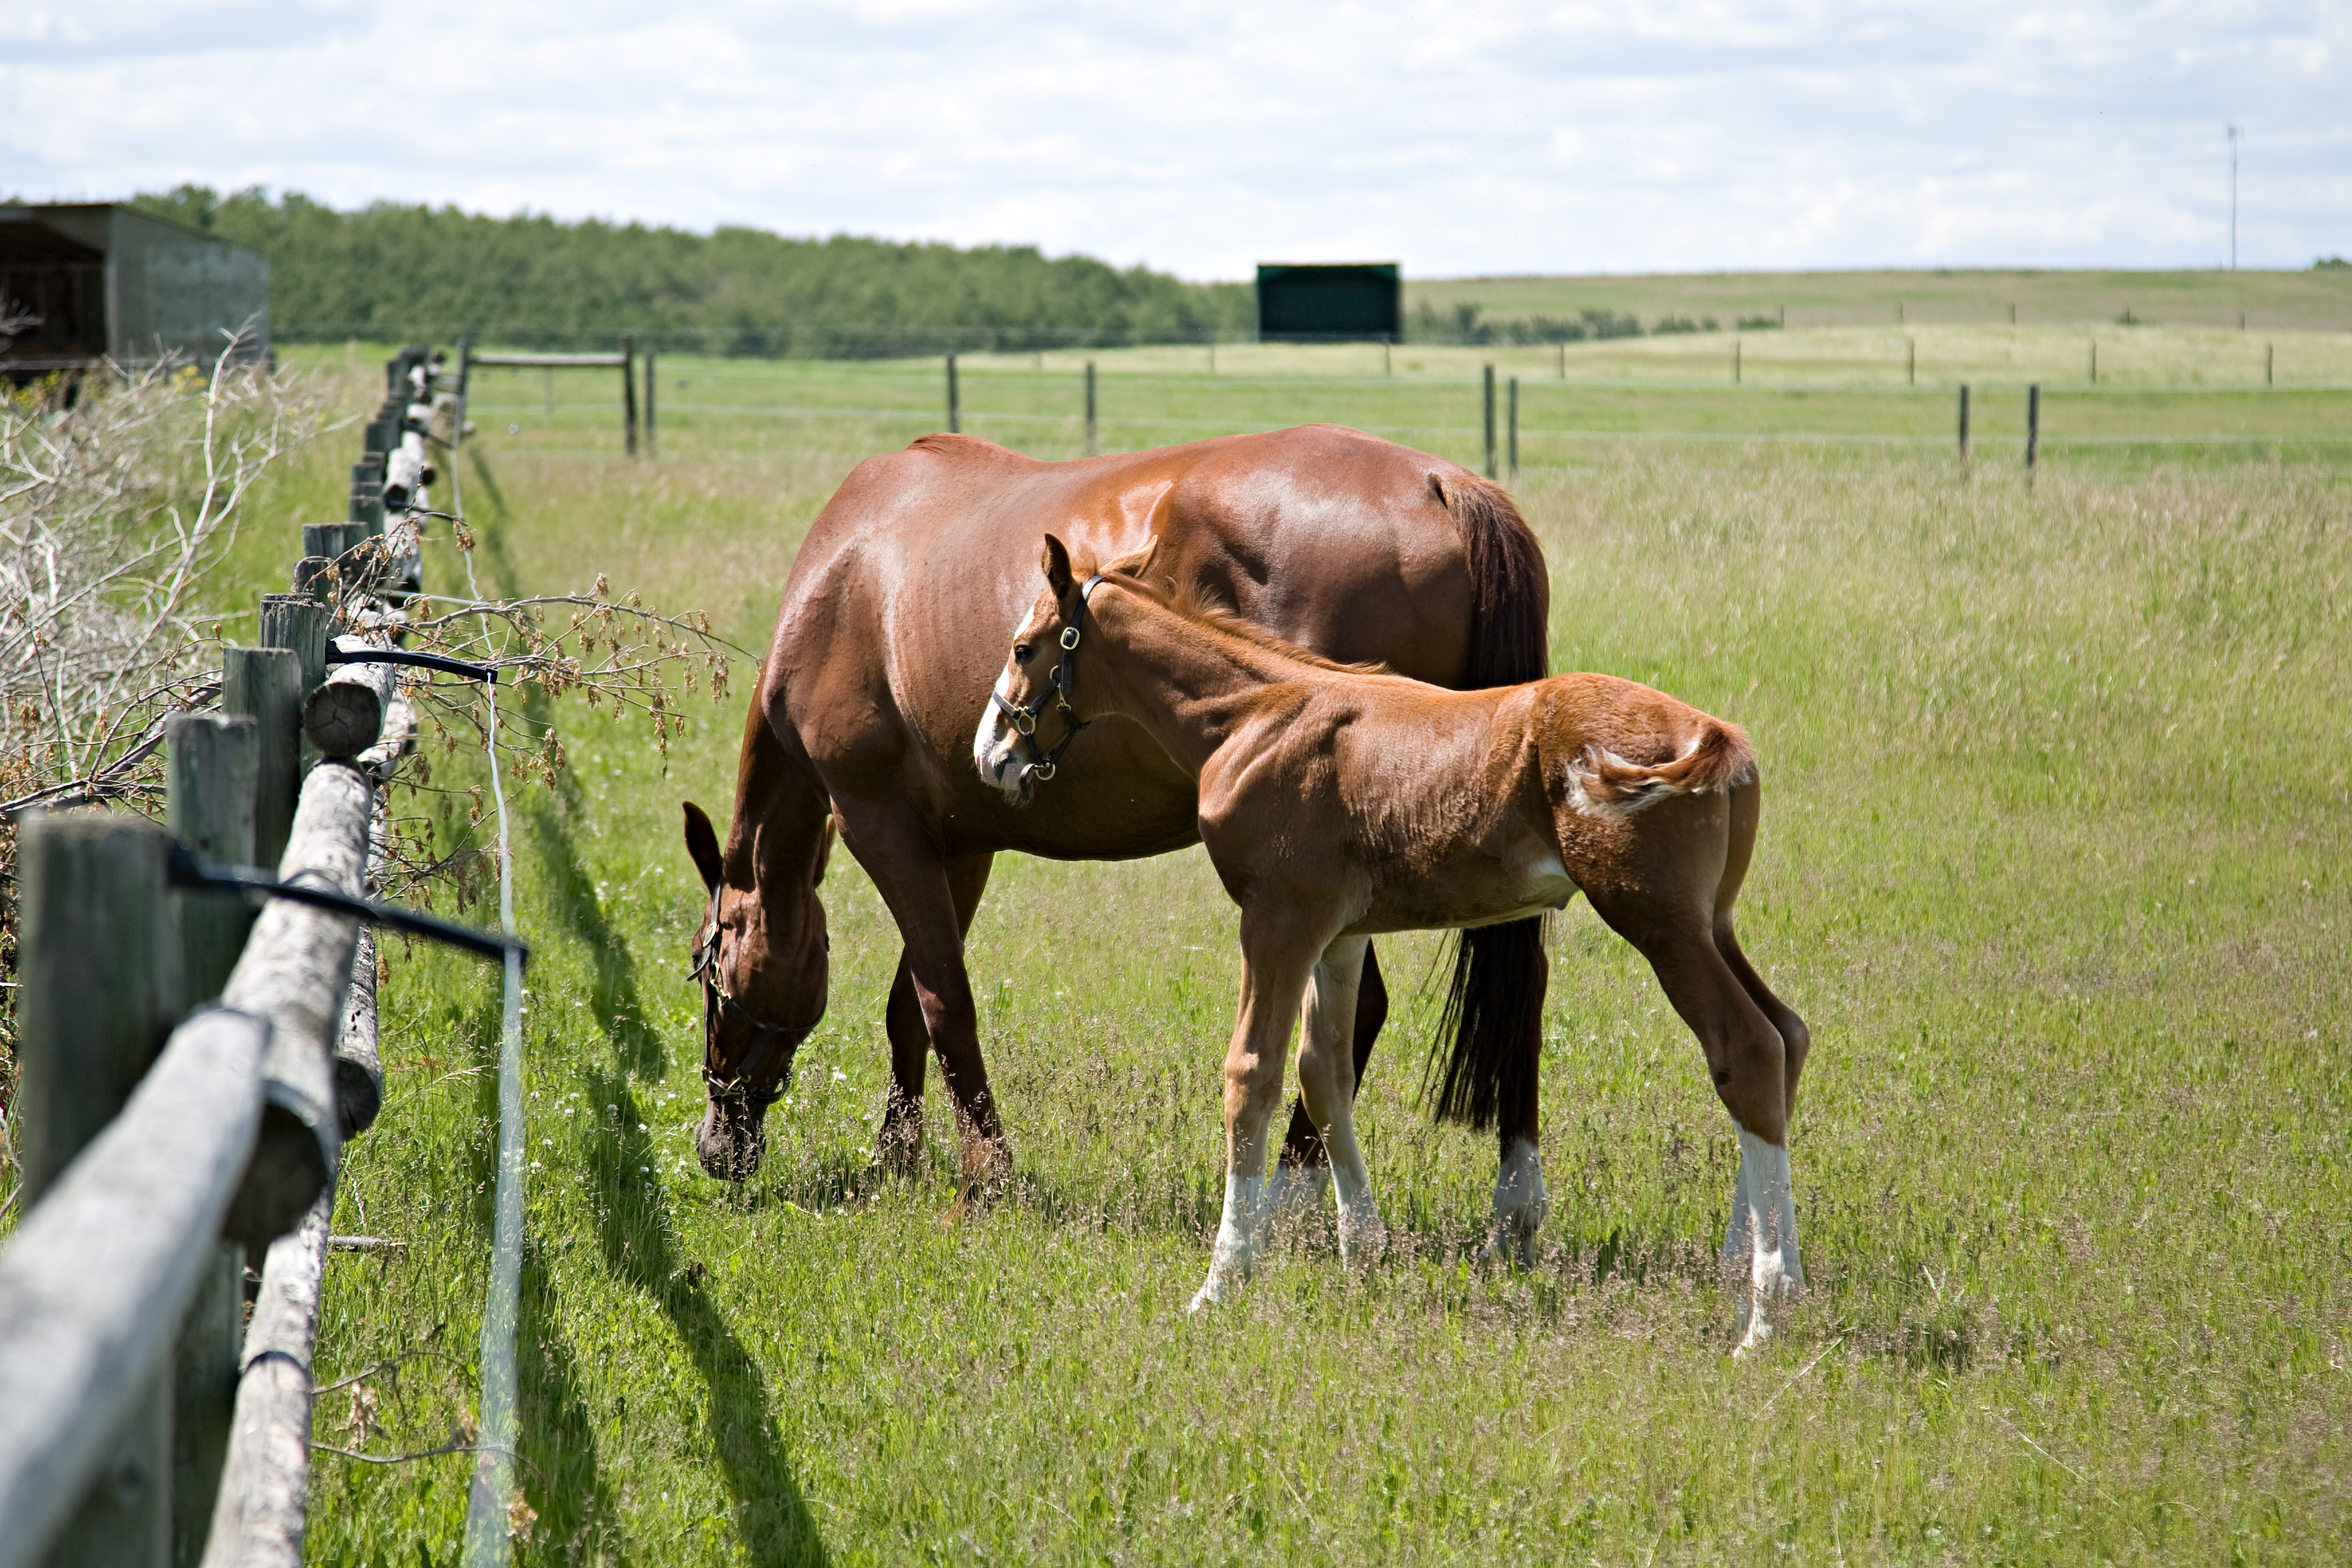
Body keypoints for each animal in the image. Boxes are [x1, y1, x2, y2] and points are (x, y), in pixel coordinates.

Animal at [681, 425, 1556, 1253]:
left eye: (705, 968)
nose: (716, 1146)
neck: (841, 581)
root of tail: (1443, 482)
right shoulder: (960, 846)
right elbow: (909, 1007)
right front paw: (897, 1157)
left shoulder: (880, 825)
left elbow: (944, 1002)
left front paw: (981, 1179)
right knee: (1513, 985)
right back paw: (1506, 1199)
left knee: (1357, 1016)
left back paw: (1289, 1193)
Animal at [974, 536, 1811, 1353]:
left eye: (1023, 647)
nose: (991, 755)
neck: (1254, 715)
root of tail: (1716, 735)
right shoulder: (1338, 936)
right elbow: (1324, 1072)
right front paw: (1361, 1247)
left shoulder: (1278, 920)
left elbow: (1252, 1075)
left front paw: (1222, 1280)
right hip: (1711, 921)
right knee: (1787, 1033)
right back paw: (1759, 1265)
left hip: (1659, 923)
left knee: (1745, 1048)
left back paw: (1763, 1314)